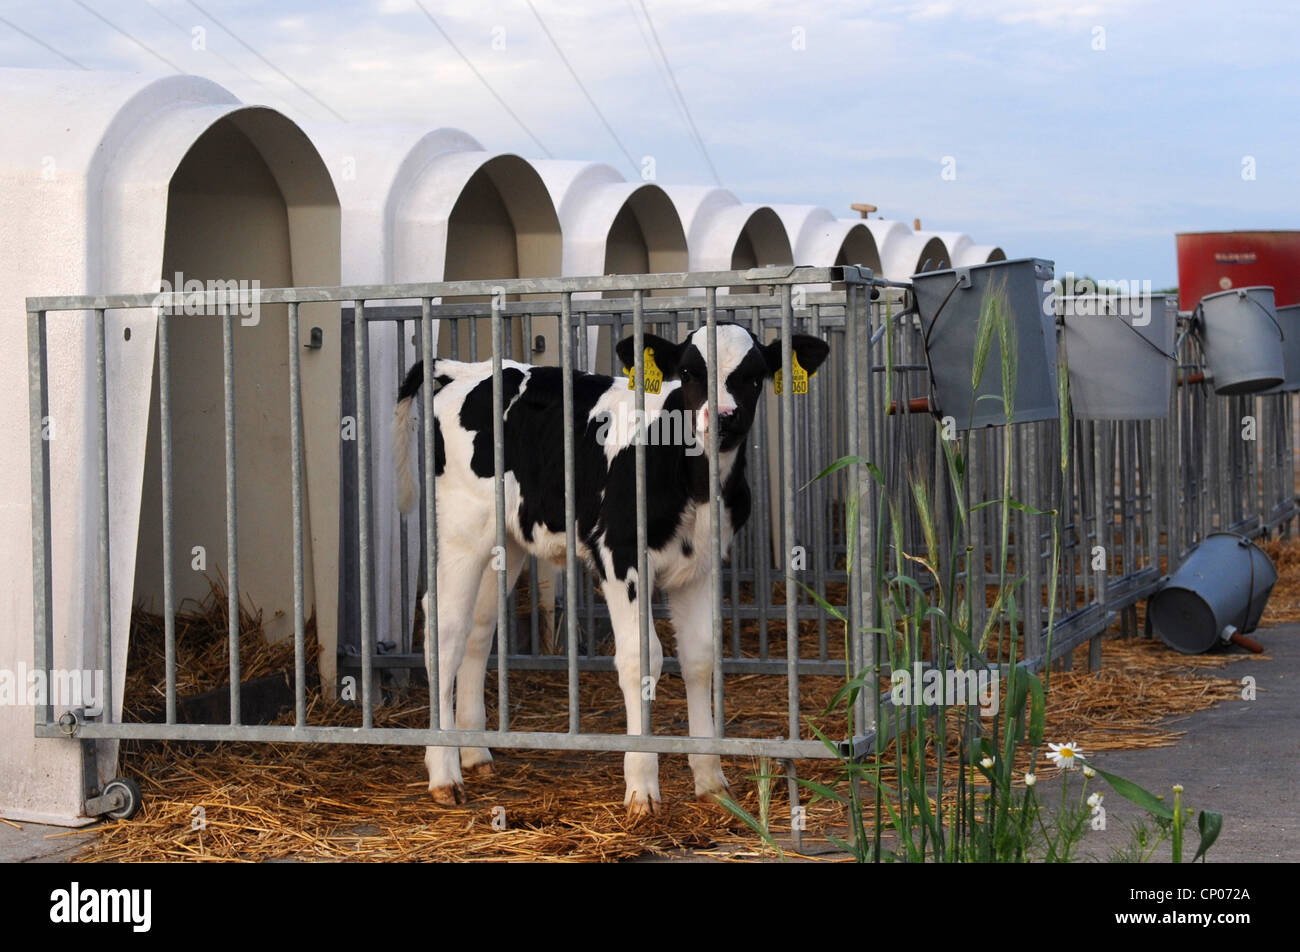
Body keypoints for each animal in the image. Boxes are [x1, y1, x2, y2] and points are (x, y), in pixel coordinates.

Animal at [390, 323, 826, 816]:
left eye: (753, 377)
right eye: (690, 372)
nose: (724, 417)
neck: (691, 480)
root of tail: (464, 369)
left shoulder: (701, 567)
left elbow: (700, 658)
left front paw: (711, 779)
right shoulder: (620, 557)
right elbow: (642, 658)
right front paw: (642, 785)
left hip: (506, 540)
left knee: (478, 628)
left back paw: (475, 752)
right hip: (462, 530)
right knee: (443, 630)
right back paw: (444, 770)